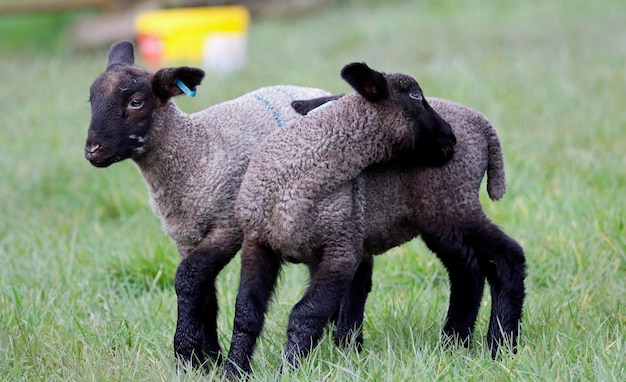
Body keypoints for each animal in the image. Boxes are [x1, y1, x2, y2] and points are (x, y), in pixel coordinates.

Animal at [84, 40, 332, 368]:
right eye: (91, 100)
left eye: (136, 102)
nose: (92, 149)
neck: (195, 151)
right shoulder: (186, 237)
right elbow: (204, 294)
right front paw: (208, 360)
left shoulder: (227, 227)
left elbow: (187, 278)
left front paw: (186, 354)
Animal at [222, 91, 524, 378]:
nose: (448, 137)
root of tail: (481, 123)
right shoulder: (258, 244)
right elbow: (247, 312)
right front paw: (234, 371)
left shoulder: (339, 250)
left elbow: (306, 314)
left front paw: (289, 370)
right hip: (439, 222)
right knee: (467, 271)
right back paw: (454, 343)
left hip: (455, 207)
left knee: (508, 257)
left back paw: (501, 347)